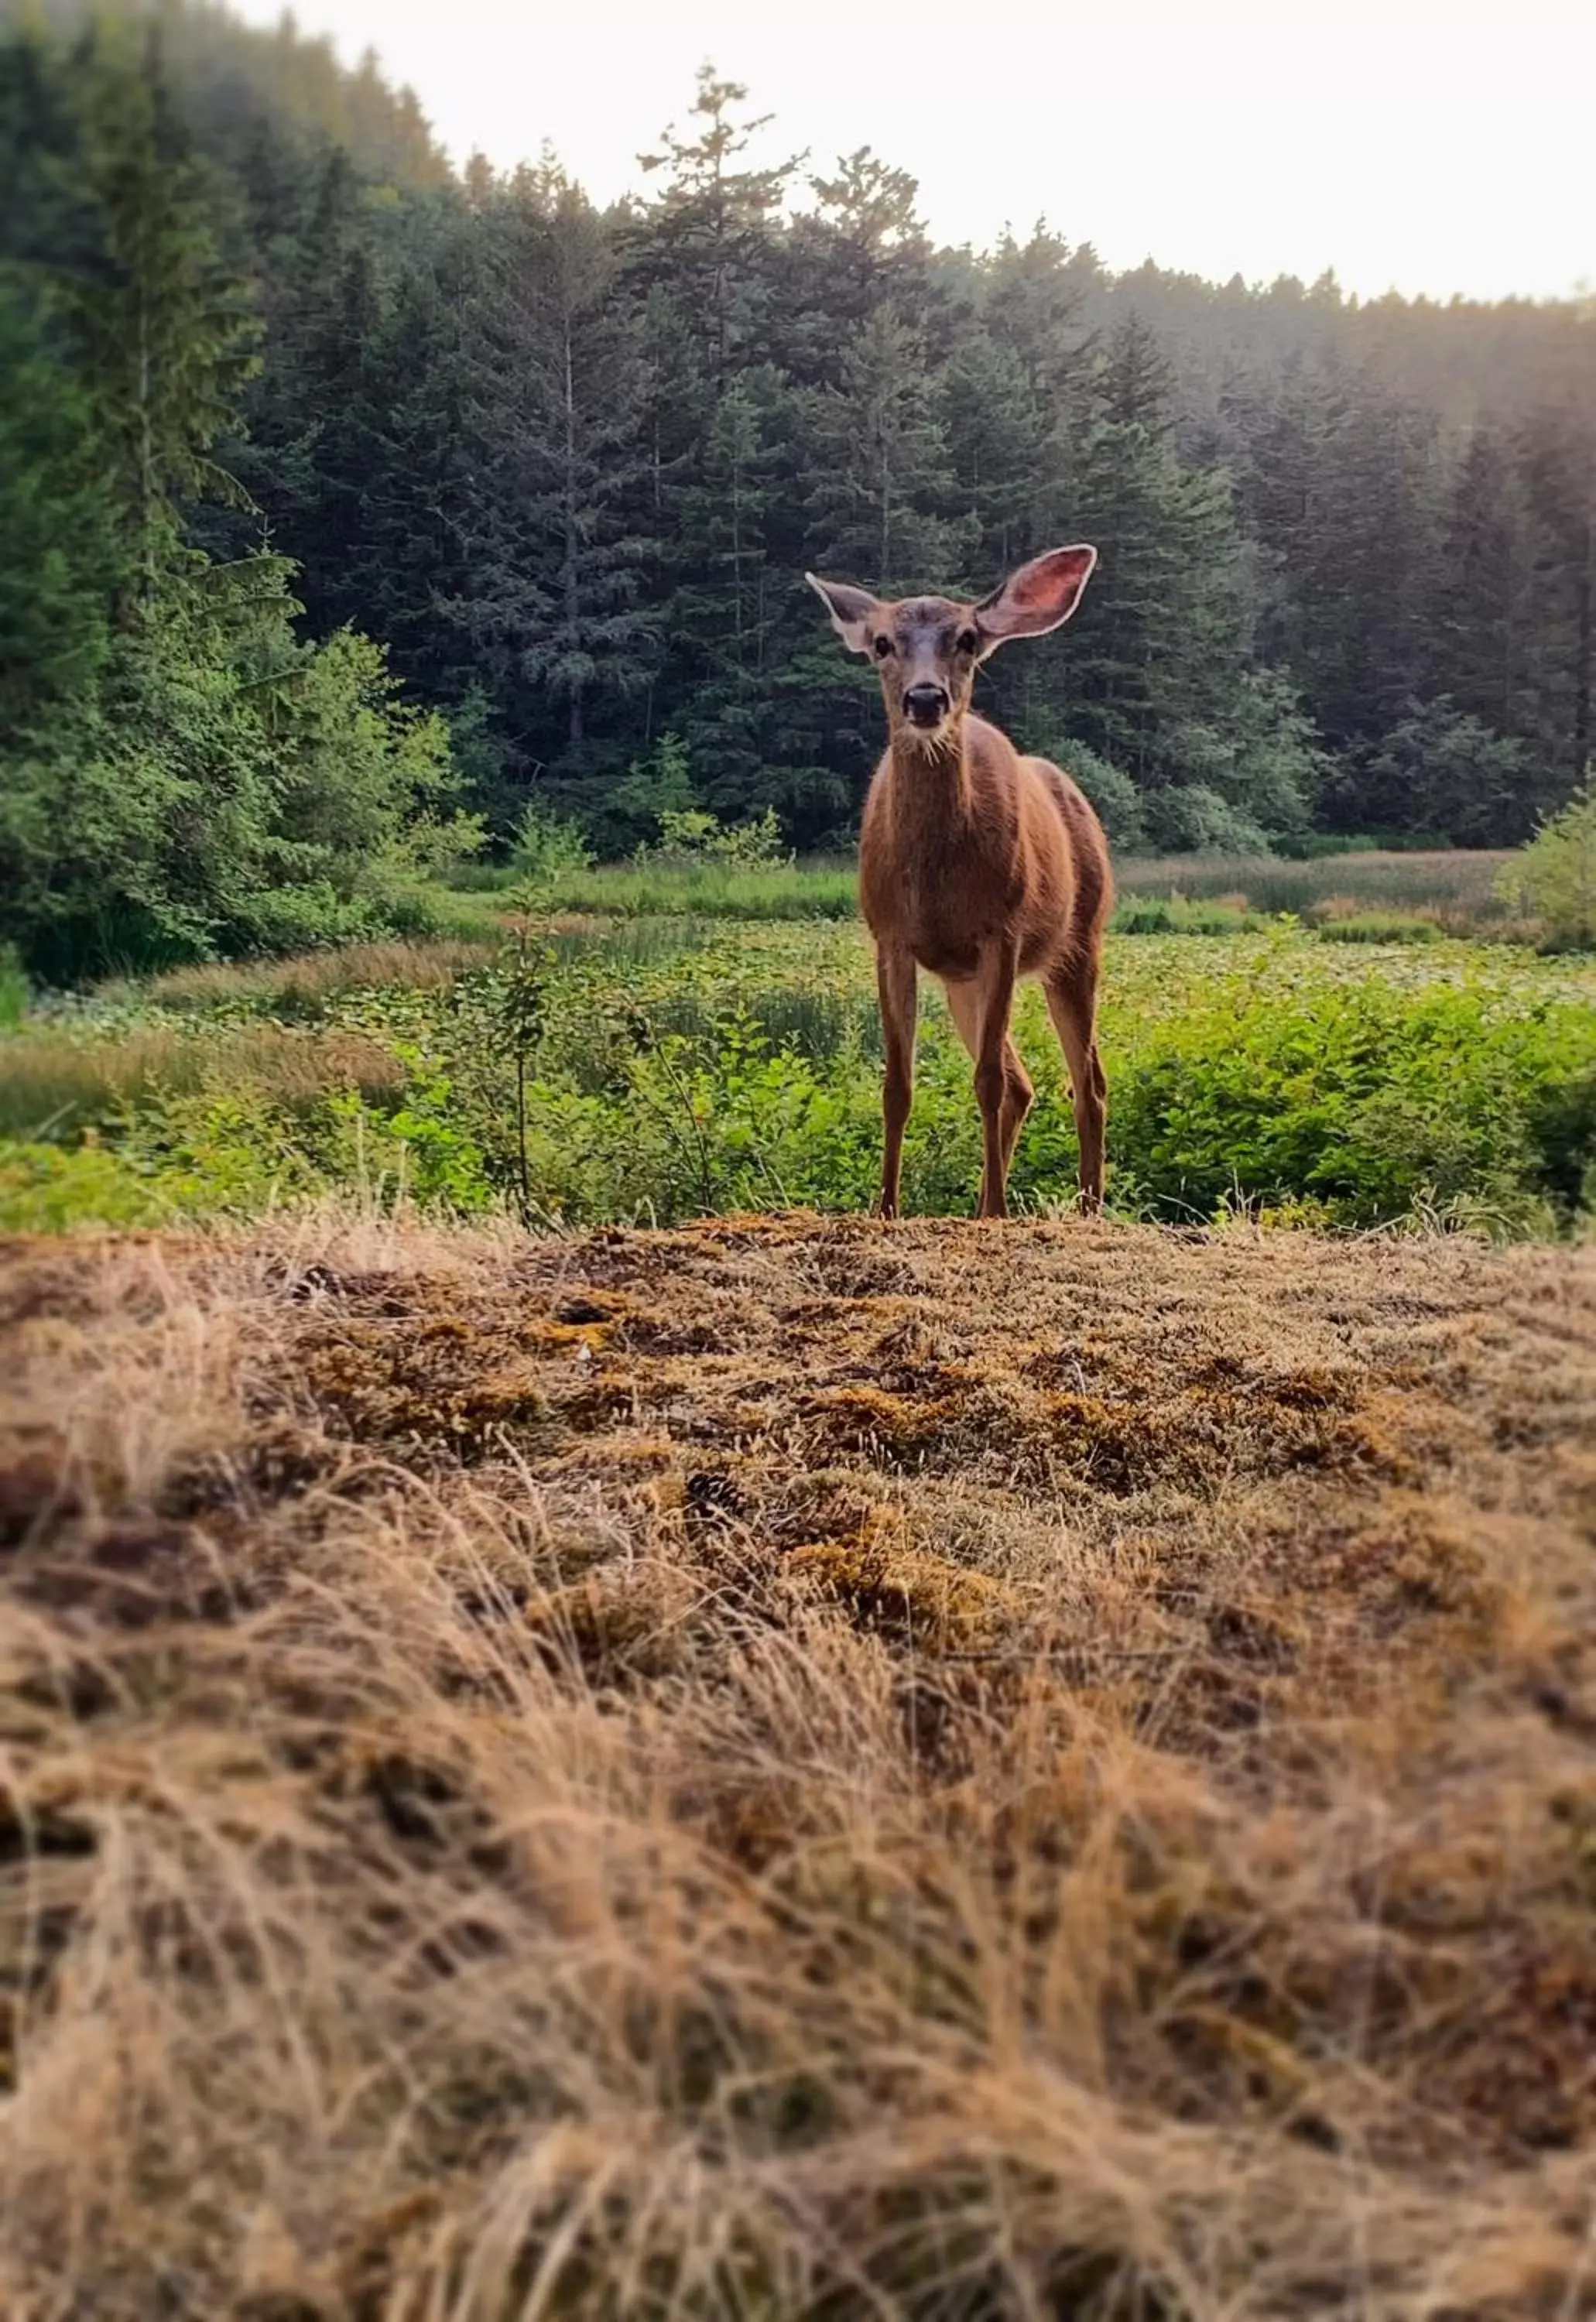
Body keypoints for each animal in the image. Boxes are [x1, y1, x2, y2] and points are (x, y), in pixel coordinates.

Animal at [813, 546, 1110, 1226]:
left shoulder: (1003, 931)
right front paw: (887, 1208)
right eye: (882, 643)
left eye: (968, 639)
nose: (926, 699)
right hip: (961, 983)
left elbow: (986, 1082)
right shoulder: (890, 938)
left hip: (1079, 944)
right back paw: (980, 1206)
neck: (934, 881)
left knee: (1086, 1083)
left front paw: (999, 1211)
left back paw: (1086, 1209)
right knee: (1028, 1082)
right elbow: (897, 1084)